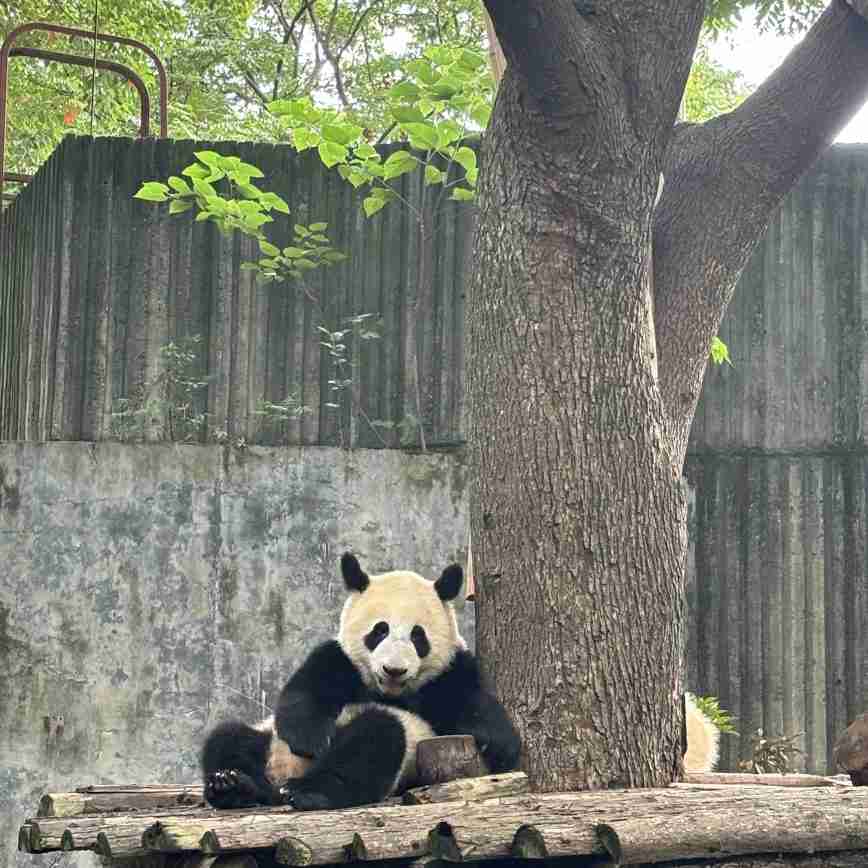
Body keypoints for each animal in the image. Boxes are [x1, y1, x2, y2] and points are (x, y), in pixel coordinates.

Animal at [201, 552, 521, 811]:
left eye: (418, 636)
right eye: (379, 631)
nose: (394, 669)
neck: (387, 692)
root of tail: (282, 774)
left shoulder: (448, 673)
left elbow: (469, 702)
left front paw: (500, 745)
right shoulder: (340, 659)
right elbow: (305, 692)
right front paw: (309, 739)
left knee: (374, 740)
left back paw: (305, 792)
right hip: (268, 737)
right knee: (227, 738)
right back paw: (232, 784)